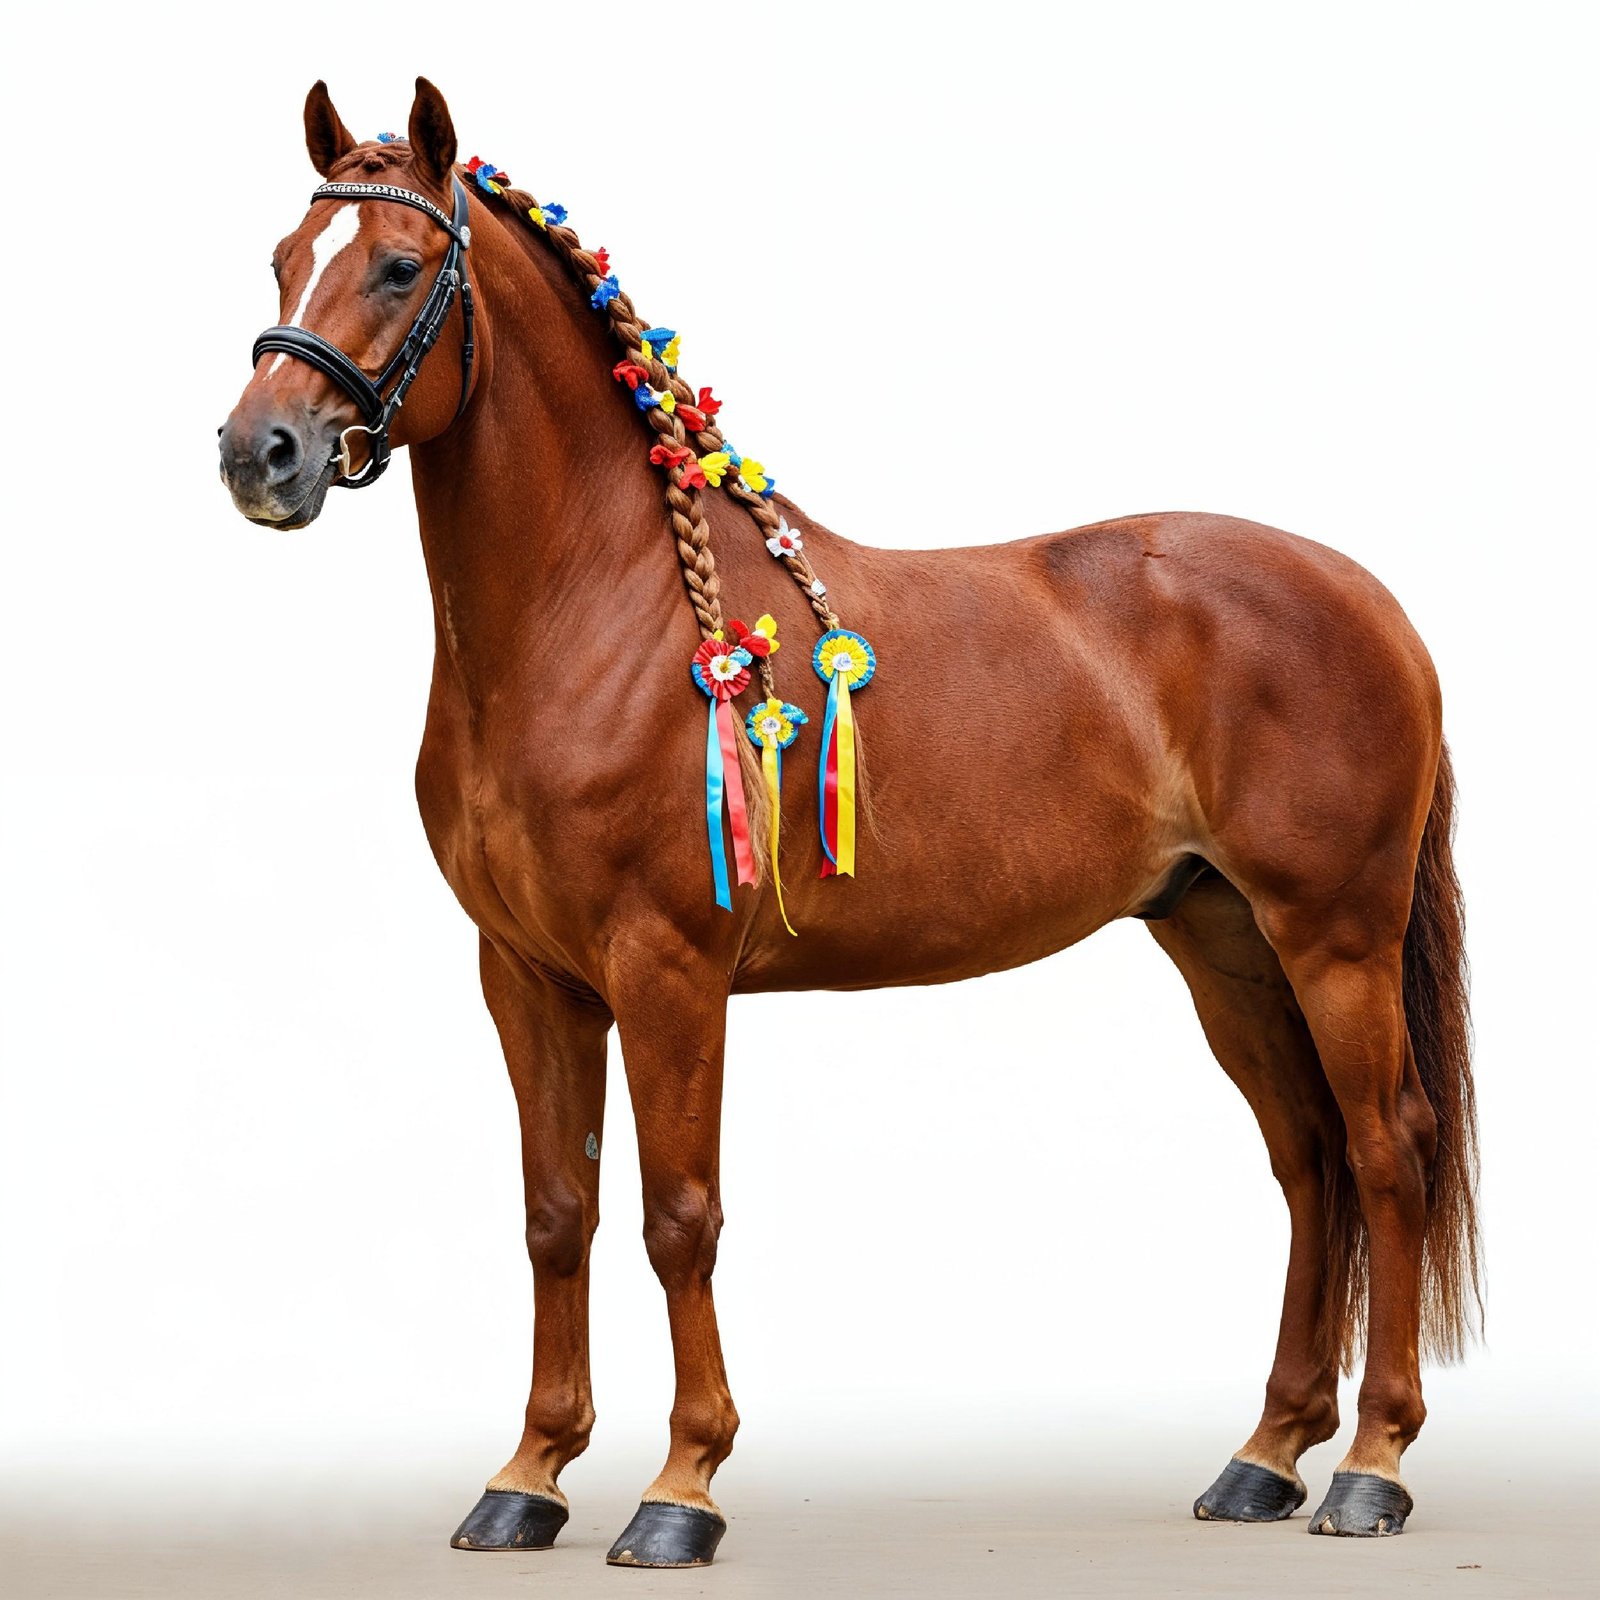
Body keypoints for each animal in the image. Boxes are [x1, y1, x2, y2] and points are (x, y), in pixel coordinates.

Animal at [218, 77, 1480, 1568]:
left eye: (401, 268)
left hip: (1334, 937)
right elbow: (555, 1215)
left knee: (1387, 1149)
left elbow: (678, 1216)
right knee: (1307, 1160)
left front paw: (681, 1489)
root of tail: (1373, 602)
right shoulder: (525, 975)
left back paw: (1371, 1468)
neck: (606, 610)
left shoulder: (667, 971)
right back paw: (1266, 1456)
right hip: (1220, 939)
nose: (259, 452)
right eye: (282, 260)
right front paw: (527, 1477)